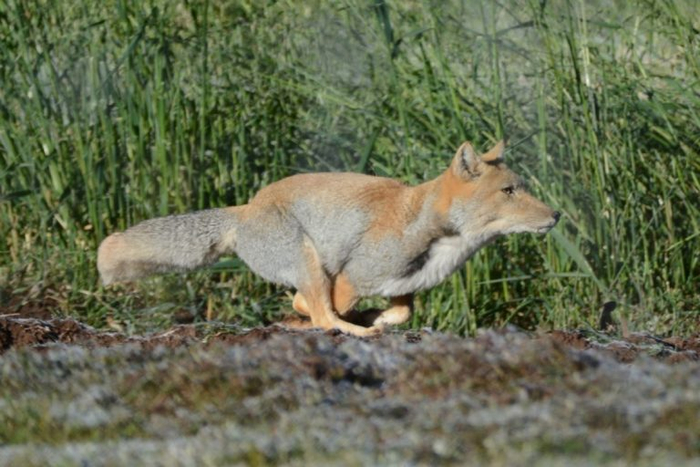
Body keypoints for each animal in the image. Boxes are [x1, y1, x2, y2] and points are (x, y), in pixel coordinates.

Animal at [98, 141, 560, 338]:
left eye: (521, 187)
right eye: (509, 191)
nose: (556, 215)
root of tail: (245, 209)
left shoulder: (402, 286)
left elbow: (401, 313)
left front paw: (377, 318)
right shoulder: (348, 278)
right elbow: (318, 306)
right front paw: (362, 321)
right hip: (308, 259)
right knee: (322, 317)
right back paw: (349, 330)